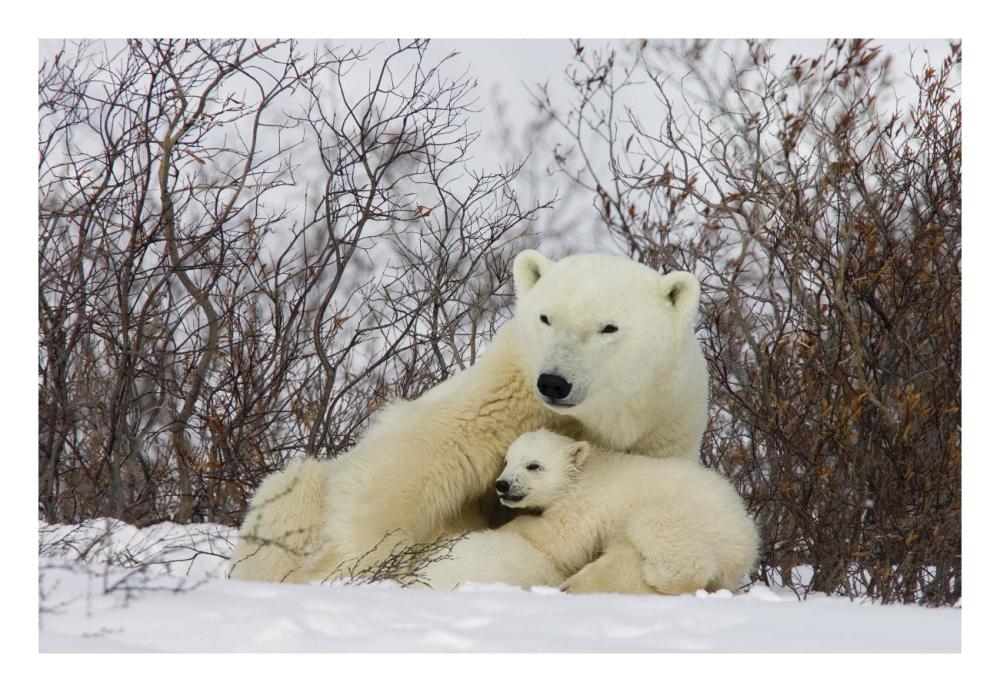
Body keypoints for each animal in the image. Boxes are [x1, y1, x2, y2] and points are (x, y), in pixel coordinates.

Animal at [229, 249, 708, 584]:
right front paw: (345, 565)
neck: (602, 416)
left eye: (608, 327)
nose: (553, 382)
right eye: (546, 318)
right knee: (293, 490)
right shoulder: (506, 388)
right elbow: (413, 463)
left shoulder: (663, 424)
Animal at [422, 430, 756, 592]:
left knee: (658, 530)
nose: (502, 485)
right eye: (507, 460)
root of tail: (747, 541)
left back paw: (658, 575)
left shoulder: (586, 505)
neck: (584, 472)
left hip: (693, 517)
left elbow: (560, 538)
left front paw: (507, 527)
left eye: (533, 465)